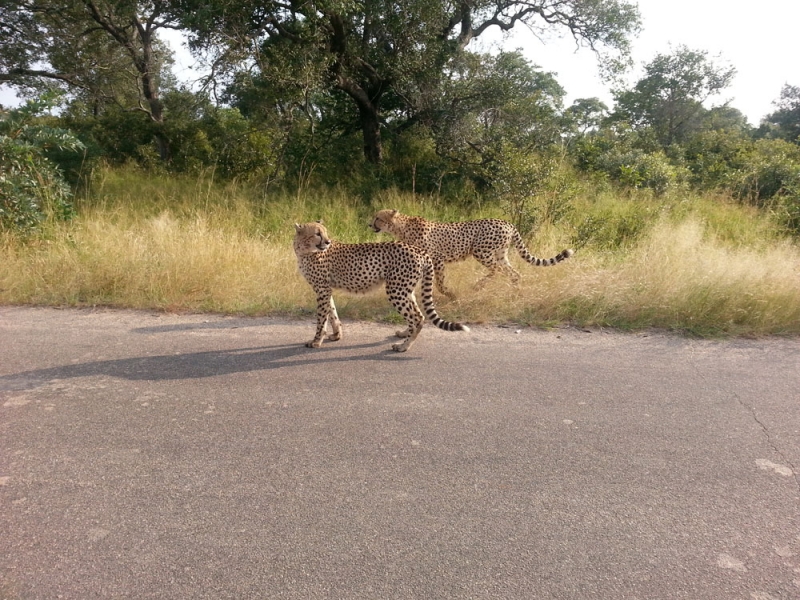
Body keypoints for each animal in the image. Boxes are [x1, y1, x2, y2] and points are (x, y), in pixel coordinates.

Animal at [292, 220, 468, 352]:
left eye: (324, 233)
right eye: (317, 233)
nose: (327, 241)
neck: (305, 251)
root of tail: (419, 250)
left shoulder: (322, 289)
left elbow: (322, 318)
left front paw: (316, 341)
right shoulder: (326, 289)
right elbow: (332, 313)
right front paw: (336, 335)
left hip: (395, 290)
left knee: (417, 318)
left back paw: (403, 347)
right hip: (406, 290)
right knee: (420, 315)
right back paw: (404, 334)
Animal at [372, 210, 572, 298]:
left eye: (377, 218)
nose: (369, 224)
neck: (401, 227)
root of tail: (507, 223)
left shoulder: (437, 259)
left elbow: (439, 281)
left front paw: (449, 293)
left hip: (481, 251)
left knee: (496, 270)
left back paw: (478, 286)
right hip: (500, 254)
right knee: (514, 273)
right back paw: (516, 292)